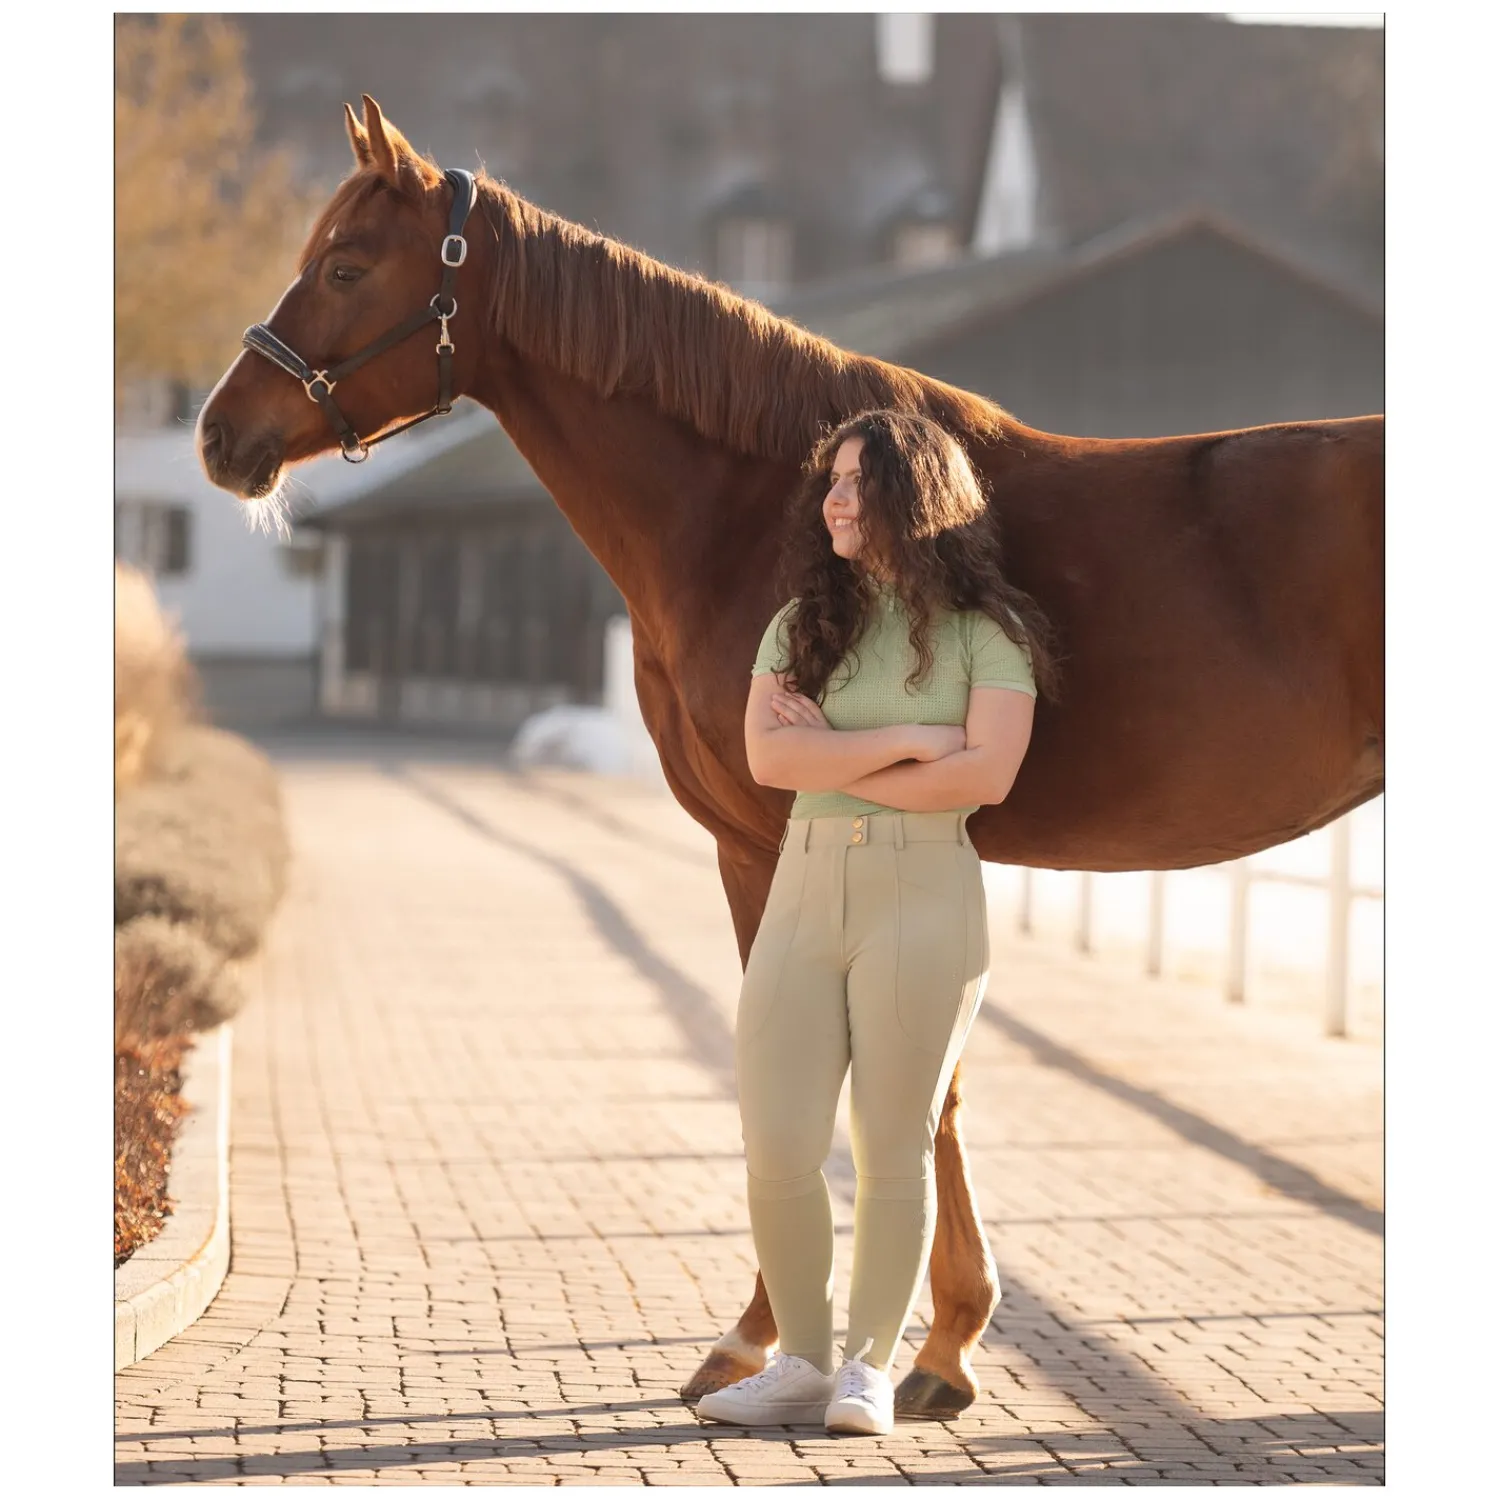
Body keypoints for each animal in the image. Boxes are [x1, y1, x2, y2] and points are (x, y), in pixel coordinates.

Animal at [195, 96, 1384, 1419]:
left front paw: (793, 1339)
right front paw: (941, 1341)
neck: (766, 507)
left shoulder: (769, 843)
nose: (221, 436)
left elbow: (826, 1075)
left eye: (347, 267)